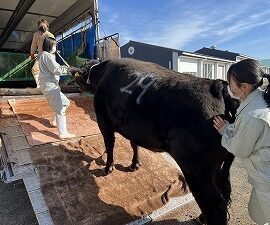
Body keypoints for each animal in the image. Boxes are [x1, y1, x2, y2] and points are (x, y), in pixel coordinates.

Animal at [69, 58, 238, 225]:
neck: (103, 71)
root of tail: (217, 87)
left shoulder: (104, 121)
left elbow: (109, 144)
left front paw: (108, 167)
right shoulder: (133, 128)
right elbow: (134, 144)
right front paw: (135, 164)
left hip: (197, 171)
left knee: (216, 205)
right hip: (214, 168)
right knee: (222, 193)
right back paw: (202, 218)